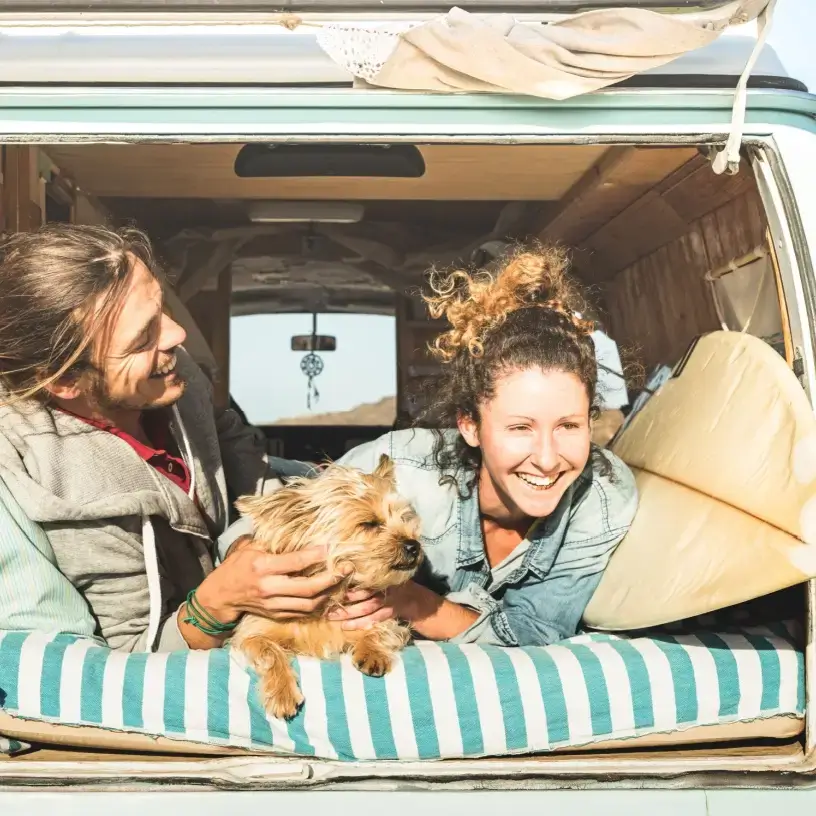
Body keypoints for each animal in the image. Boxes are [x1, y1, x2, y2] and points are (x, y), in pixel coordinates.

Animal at [228, 456, 420, 716]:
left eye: (405, 518)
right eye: (369, 524)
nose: (414, 545)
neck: (330, 599)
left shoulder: (386, 619)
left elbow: (381, 628)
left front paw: (372, 651)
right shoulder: (251, 632)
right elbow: (268, 651)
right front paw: (282, 691)